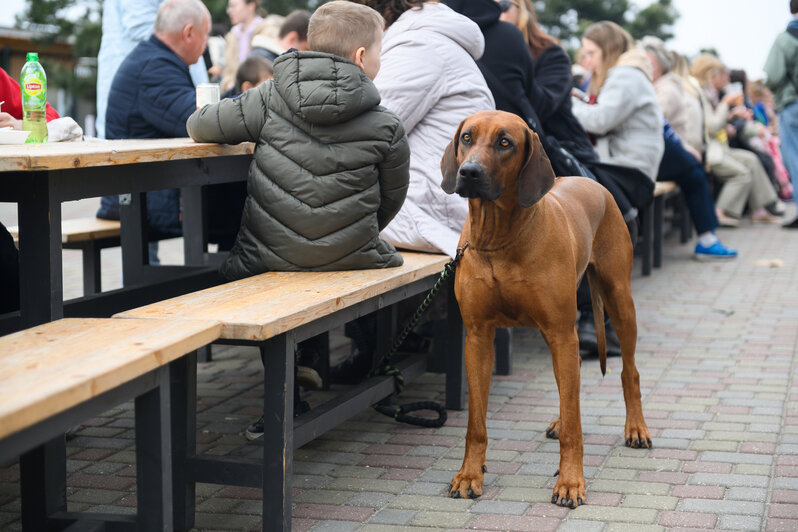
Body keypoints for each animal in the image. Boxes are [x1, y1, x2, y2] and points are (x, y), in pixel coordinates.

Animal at [440, 111, 652, 508]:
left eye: (505, 142)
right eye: (466, 137)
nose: (469, 172)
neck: (499, 238)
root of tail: (592, 181)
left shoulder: (561, 332)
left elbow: (576, 426)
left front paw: (571, 482)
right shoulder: (477, 336)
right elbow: (476, 422)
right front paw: (469, 475)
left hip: (619, 300)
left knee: (627, 372)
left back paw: (636, 428)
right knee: (570, 380)